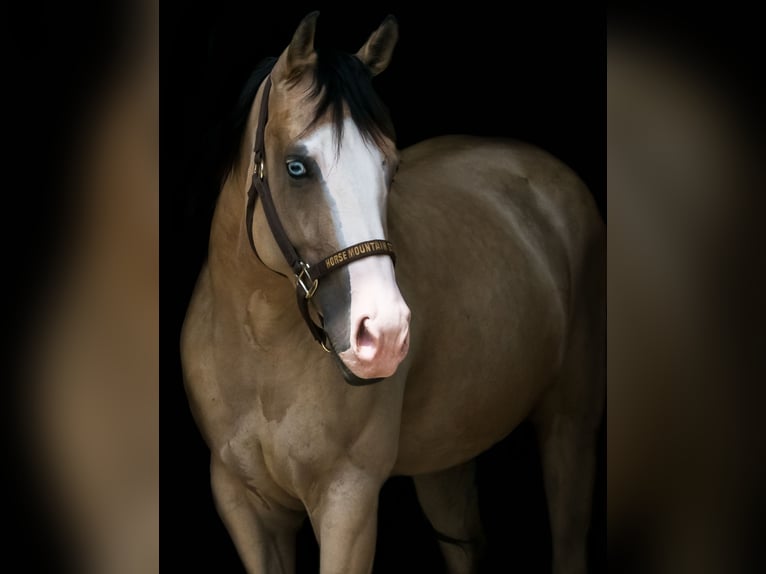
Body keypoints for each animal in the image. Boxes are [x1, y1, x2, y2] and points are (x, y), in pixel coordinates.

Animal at [182, 10, 608, 574]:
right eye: (297, 166)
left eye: (390, 165)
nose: (383, 335)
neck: (260, 350)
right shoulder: (244, 507)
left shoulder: (349, 501)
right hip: (447, 456)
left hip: (570, 424)